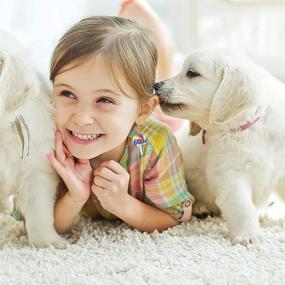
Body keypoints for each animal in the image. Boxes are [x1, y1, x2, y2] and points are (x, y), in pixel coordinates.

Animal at [154, 47, 284, 243]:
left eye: (192, 73)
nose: (156, 85)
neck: (248, 127)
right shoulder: (230, 175)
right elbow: (243, 207)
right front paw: (248, 235)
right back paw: (201, 208)